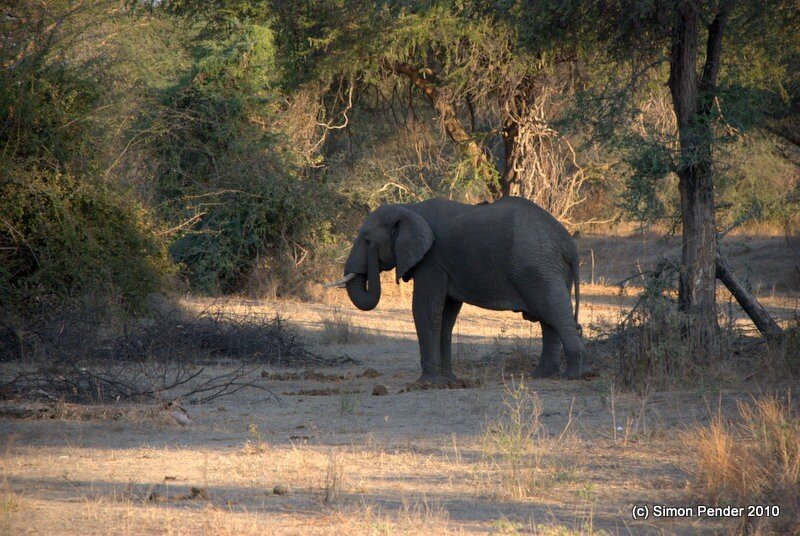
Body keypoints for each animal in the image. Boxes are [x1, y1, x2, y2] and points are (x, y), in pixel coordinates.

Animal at [324, 197, 591, 384]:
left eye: (367, 240)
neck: (410, 209)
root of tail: (569, 243)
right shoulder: (445, 265)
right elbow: (445, 316)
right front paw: (448, 380)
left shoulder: (431, 260)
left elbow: (426, 309)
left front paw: (427, 383)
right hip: (548, 269)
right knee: (549, 319)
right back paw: (543, 375)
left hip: (537, 267)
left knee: (554, 313)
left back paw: (573, 376)